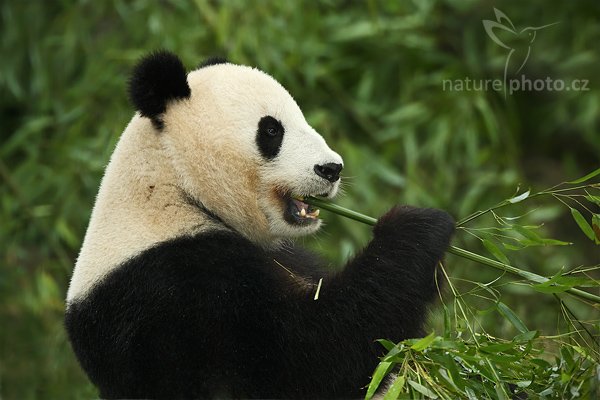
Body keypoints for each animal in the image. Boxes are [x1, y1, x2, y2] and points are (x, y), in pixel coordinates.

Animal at [64, 51, 454, 398]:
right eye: (271, 130)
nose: (331, 168)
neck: (173, 185)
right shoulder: (177, 289)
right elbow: (307, 362)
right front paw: (418, 225)